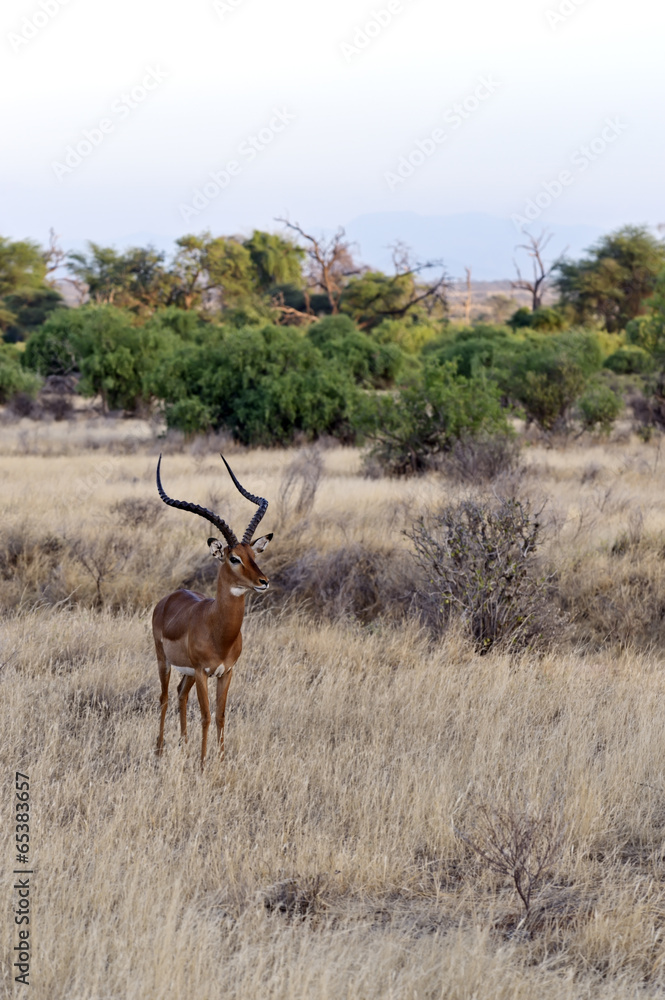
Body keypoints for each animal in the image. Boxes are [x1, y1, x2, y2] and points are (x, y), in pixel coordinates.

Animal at [153, 454, 272, 768]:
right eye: (234, 558)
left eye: (253, 555)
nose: (264, 582)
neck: (219, 631)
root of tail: (169, 598)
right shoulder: (203, 671)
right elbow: (206, 716)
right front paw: (204, 763)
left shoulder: (225, 672)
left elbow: (220, 716)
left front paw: (219, 759)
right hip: (164, 662)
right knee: (165, 697)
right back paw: (159, 750)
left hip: (188, 673)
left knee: (180, 695)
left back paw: (183, 745)